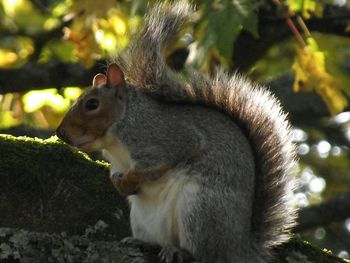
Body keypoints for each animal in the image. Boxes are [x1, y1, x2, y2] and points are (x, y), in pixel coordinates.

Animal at [56, 1, 298, 262]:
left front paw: (130, 179)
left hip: (200, 209)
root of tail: (239, 248)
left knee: (202, 254)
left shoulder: (163, 138)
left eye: (92, 104)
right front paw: (120, 184)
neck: (115, 139)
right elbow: (118, 176)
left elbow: (157, 163)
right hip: (143, 218)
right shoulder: (117, 161)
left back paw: (179, 250)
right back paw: (143, 242)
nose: (61, 133)